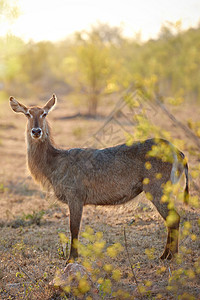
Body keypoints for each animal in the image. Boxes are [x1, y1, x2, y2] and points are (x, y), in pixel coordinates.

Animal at [9, 95, 189, 262]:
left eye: (44, 113)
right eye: (27, 114)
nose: (36, 131)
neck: (54, 163)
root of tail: (179, 153)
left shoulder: (75, 196)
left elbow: (74, 228)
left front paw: (71, 258)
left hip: (157, 189)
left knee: (174, 218)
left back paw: (171, 256)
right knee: (172, 219)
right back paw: (165, 255)